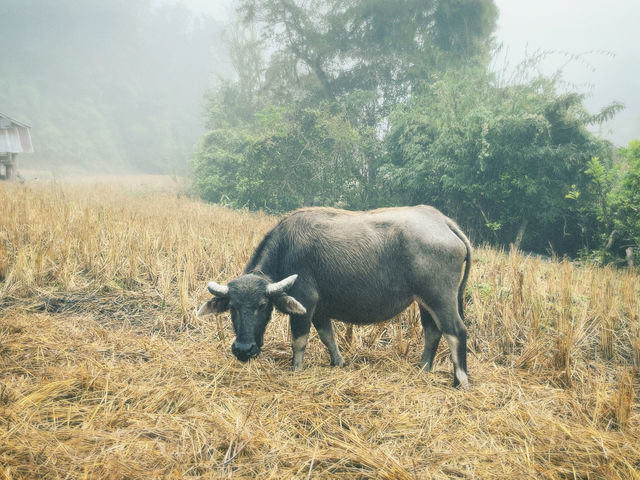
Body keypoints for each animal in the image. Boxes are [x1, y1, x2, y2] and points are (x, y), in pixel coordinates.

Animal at [198, 204, 472, 388]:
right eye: (232, 306)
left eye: (263, 305)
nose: (243, 349)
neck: (286, 249)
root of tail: (444, 222)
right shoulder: (320, 311)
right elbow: (327, 336)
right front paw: (338, 362)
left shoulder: (305, 303)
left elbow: (299, 340)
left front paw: (296, 369)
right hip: (425, 300)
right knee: (432, 331)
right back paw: (423, 369)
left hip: (441, 297)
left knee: (455, 331)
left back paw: (460, 381)